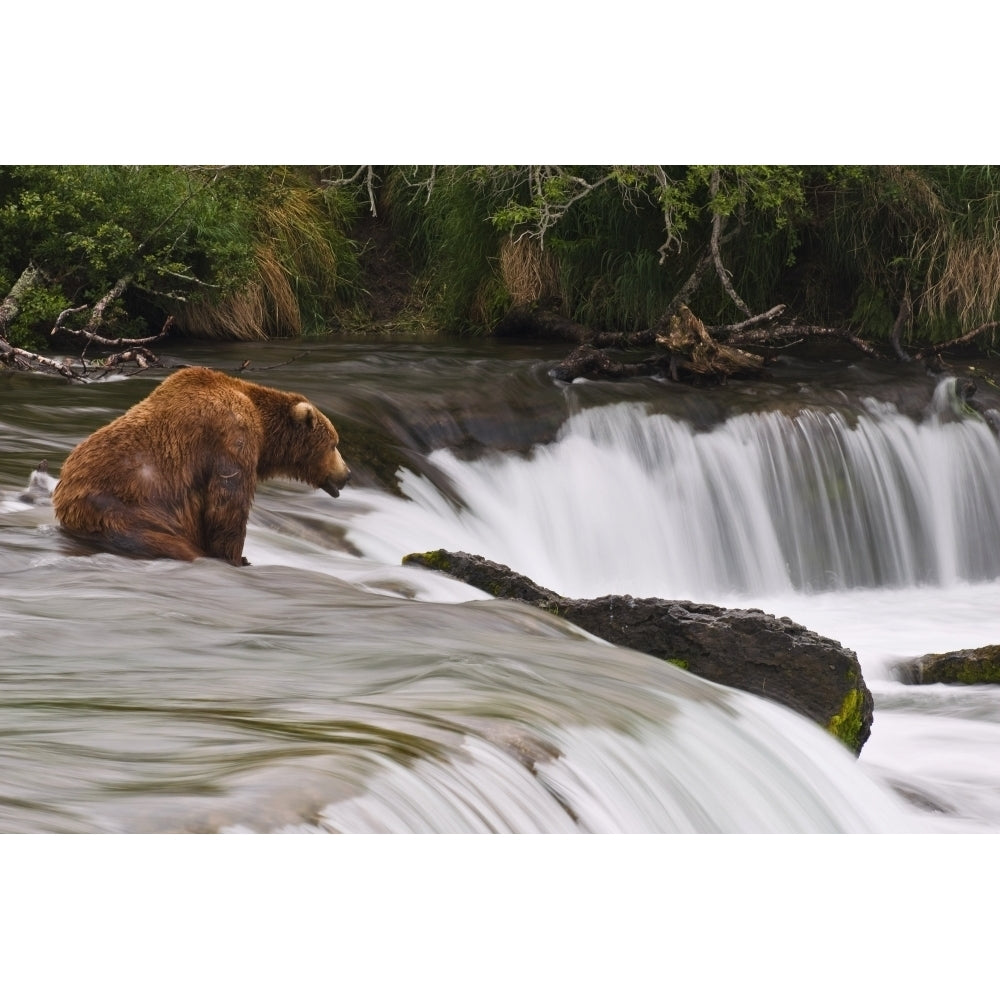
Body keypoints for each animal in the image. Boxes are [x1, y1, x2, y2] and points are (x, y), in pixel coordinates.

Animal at [54, 370, 354, 572]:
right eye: (334, 444)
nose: (348, 473)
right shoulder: (233, 436)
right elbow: (228, 504)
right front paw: (237, 557)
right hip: (125, 510)